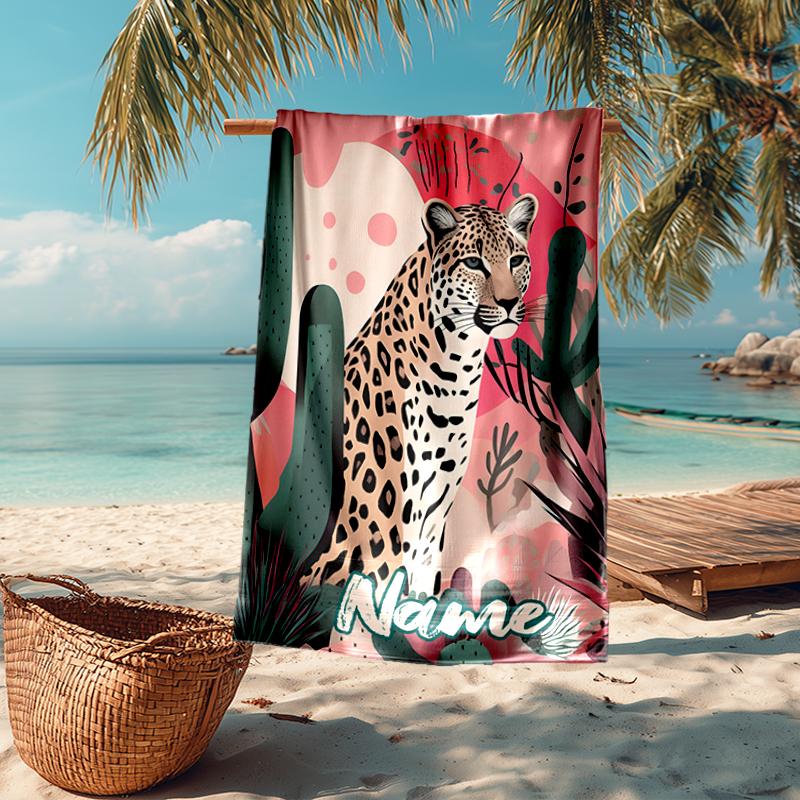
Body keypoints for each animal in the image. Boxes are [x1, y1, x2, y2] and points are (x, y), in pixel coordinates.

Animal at [305, 194, 539, 596]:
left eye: (516, 260)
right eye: (474, 263)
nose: (509, 303)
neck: (456, 371)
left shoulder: (433, 521)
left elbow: (420, 585)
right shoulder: (386, 533)